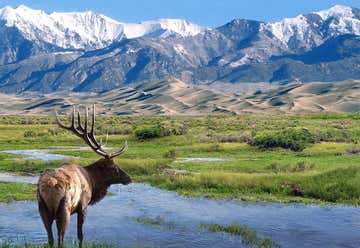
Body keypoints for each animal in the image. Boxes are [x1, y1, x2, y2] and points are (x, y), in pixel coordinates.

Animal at [36, 105, 131, 248]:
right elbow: (80, 235)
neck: (92, 181)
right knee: (60, 239)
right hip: (64, 209)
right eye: (113, 167)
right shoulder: (83, 206)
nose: (129, 178)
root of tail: (49, 186)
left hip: (42, 207)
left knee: (50, 239)